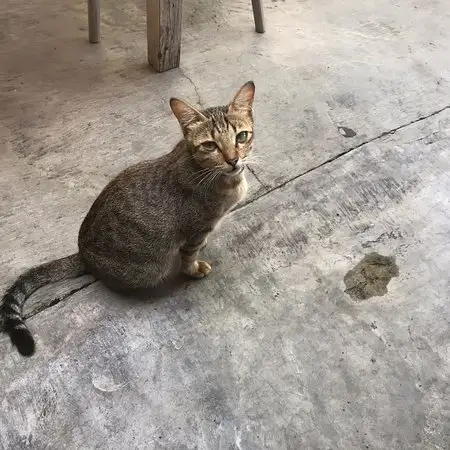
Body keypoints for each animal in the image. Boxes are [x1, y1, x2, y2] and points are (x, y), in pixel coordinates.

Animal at [0, 80, 256, 356]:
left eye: (241, 136)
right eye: (210, 145)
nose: (233, 160)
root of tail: (82, 251)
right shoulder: (195, 229)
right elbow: (189, 256)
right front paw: (194, 269)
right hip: (149, 268)